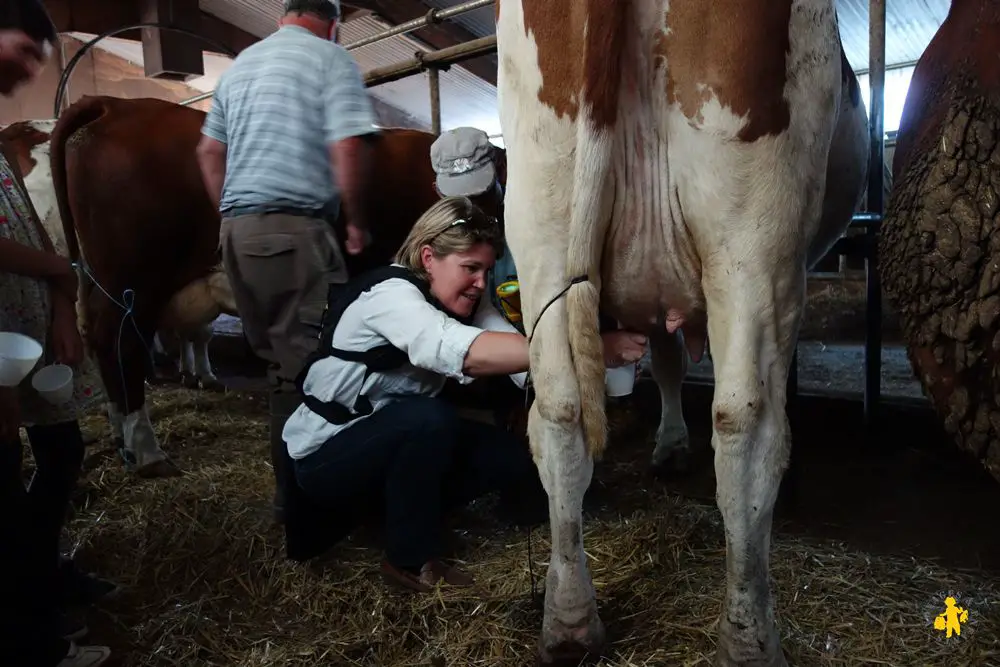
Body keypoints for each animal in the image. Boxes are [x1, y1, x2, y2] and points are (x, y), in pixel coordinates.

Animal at [496, 2, 872, 664]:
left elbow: (666, 361)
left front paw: (668, 446)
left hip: (541, 219)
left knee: (560, 411)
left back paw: (569, 623)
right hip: (753, 241)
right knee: (745, 423)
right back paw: (749, 639)